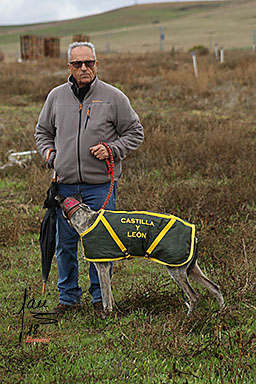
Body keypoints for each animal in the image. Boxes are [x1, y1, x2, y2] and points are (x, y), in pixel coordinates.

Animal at [56, 194, 224, 316]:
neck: (86, 217)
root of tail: (194, 237)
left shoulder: (101, 267)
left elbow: (105, 297)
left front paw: (107, 314)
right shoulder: (106, 265)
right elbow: (109, 293)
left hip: (176, 271)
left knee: (194, 296)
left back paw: (188, 318)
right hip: (191, 268)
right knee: (215, 287)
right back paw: (222, 312)